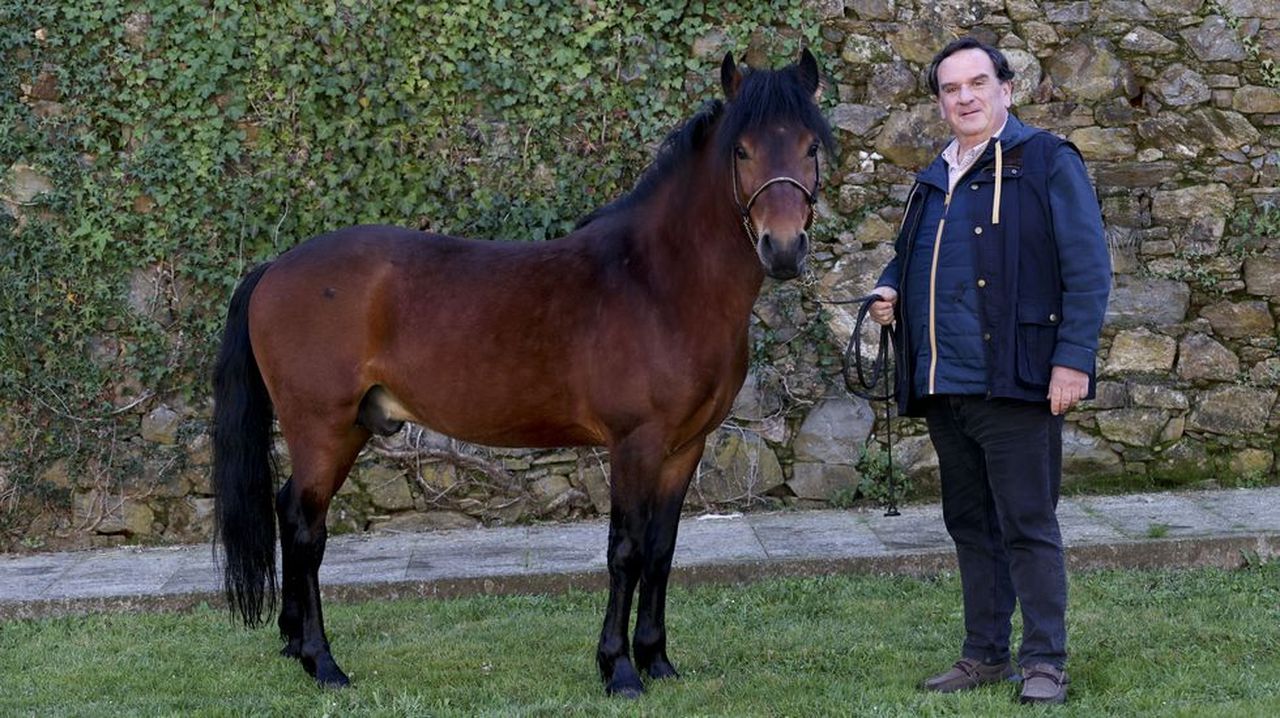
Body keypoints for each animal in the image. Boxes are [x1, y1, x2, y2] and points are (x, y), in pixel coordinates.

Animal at [212, 49, 834, 696]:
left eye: (812, 146)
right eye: (742, 150)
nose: (783, 248)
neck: (657, 282)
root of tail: (276, 266)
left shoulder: (684, 447)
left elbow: (662, 551)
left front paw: (657, 660)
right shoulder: (634, 444)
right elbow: (627, 551)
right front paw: (619, 670)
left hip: (349, 428)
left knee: (288, 509)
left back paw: (293, 643)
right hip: (322, 427)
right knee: (306, 529)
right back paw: (324, 663)